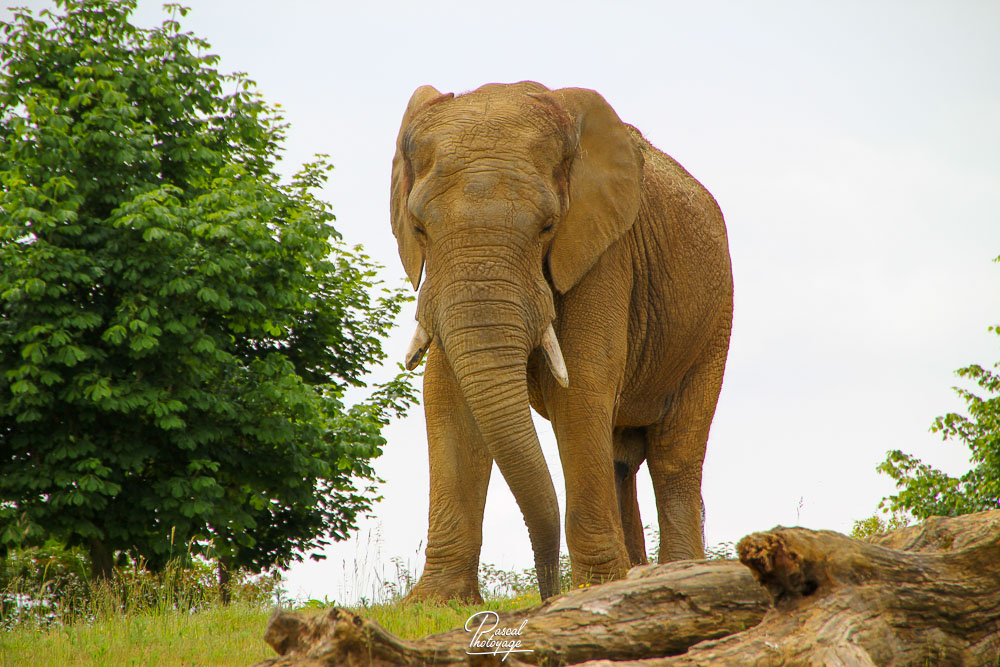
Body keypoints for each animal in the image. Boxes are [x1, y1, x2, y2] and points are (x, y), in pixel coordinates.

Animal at [390, 81, 733, 601]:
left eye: (548, 227)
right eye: (419, 228)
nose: (547, 590)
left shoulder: (604, 253)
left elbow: (581, 391)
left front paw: (596, 588)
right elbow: (448, 400)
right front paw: (436, 601)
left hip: (713, 323)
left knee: (674, 455)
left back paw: (677, 573)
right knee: (622, 459)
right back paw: (639, 571)